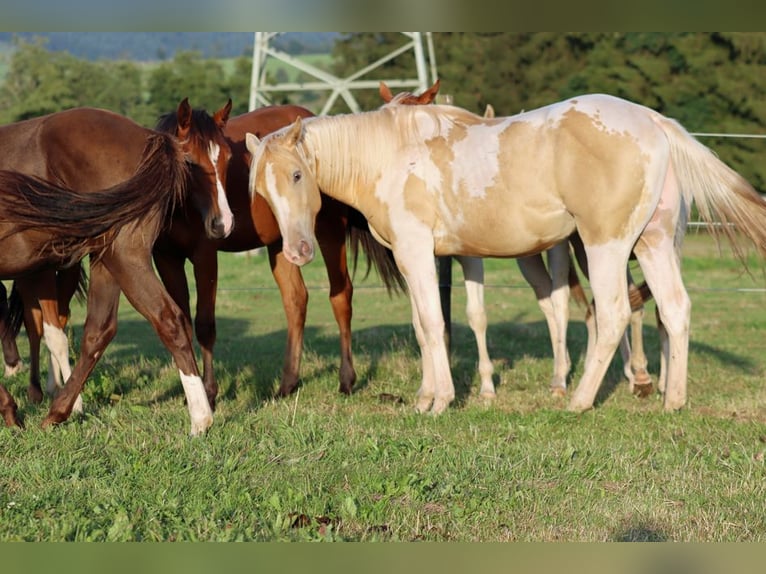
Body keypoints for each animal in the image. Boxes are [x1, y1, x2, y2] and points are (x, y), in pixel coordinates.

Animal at [0, 99, 234, 434]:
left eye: (228, 157)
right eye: (190, 162)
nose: (224, 222)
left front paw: (11, 407)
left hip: (122, 258)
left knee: (168, 319)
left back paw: (200, 418)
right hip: (104, 259)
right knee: (99, 329)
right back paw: (58, 410)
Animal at [150, 103, 404, 405]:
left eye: (227, 158)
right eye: (189, 160)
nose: (222, 223)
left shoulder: (205, 257)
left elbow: (204, 325)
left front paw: (209, 393)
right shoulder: (167, 260)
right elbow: (182, 324)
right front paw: (192, 392)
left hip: (328, 231)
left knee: (340, 295)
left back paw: (346, 380)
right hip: (283, 243)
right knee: (296, 300)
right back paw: (288, 384)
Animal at [246, 94, 766, 415]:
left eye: (297, 175)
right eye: (261, 191)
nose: (297, 250)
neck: (388, 155)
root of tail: (652, 120)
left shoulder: (417, 252)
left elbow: (433, 323)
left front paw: (440, 401)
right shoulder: (420, 259)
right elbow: (423, 326)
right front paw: (424, 397)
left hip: (605, 246)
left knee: (614, 312)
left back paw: (579, 400)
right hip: (652, 243)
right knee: (674, 310)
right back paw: (672, 400)